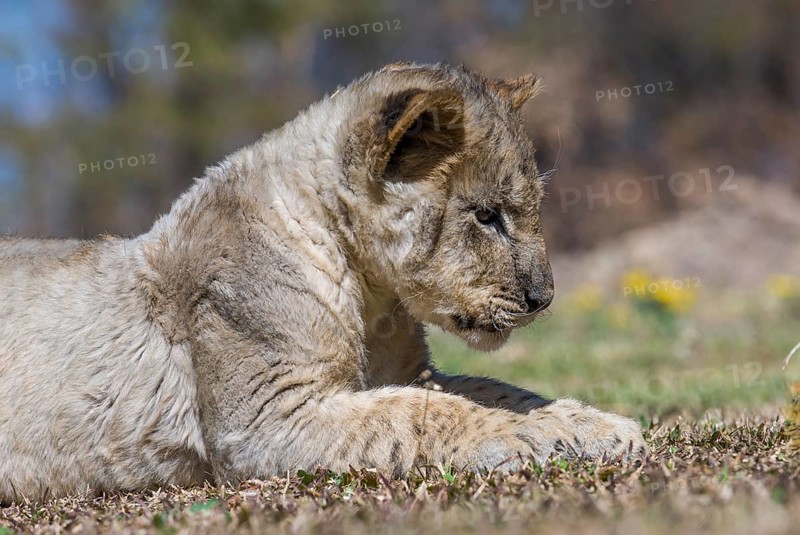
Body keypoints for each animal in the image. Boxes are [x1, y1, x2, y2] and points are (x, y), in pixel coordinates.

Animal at [0, 62, 646, 502]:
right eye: (487, 216)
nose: (545, 297)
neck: (371, 291)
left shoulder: (411, 372)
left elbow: (496, 390)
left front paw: (595, 425)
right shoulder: (265, 418)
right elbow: (422, 413)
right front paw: (524, 439)